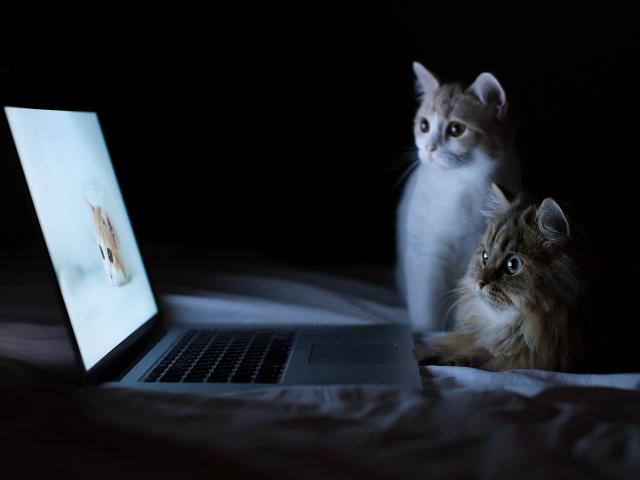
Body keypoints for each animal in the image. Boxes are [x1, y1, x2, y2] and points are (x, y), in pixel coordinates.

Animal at [397, 62, 520, 331]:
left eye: (456, 129)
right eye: (424, 126)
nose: (429, 148)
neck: (459, 186)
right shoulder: (426, 253)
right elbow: (427, 309)